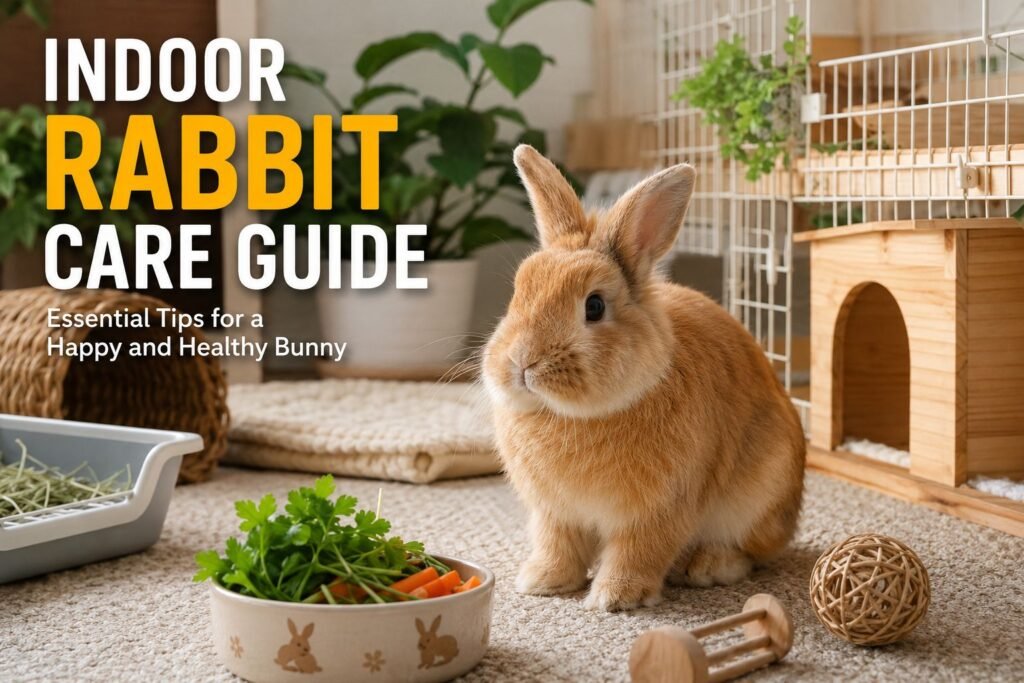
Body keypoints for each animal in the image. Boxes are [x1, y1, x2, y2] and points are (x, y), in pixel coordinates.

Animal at [481, 145, 806, 612]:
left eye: (594, 306)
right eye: (517, 293)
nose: (521, 363)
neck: (574, 414)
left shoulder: (661, 509)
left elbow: (639, 550)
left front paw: (616, 597)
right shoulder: (555, 513)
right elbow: (557, 546)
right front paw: (543, 581)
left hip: (760, 497)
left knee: (752, 552)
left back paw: (709, 566)